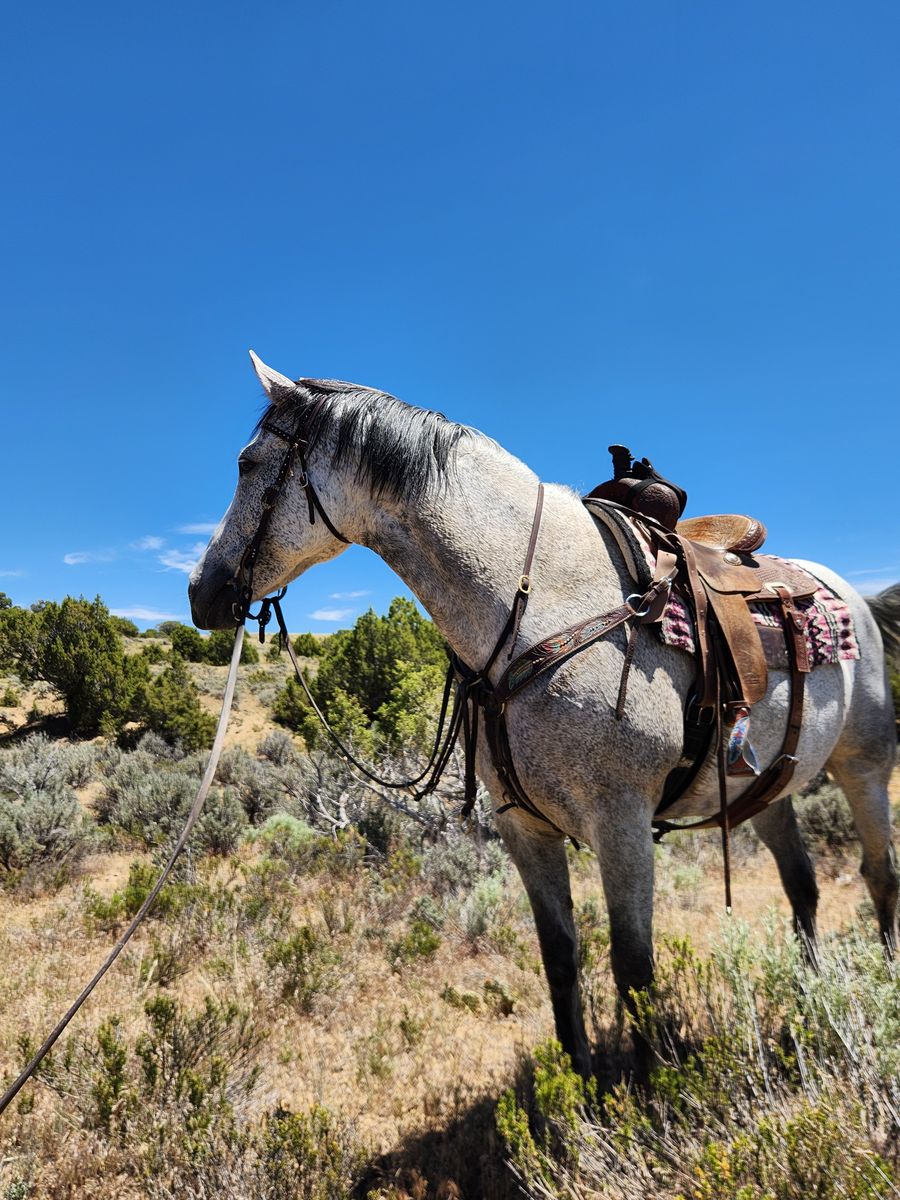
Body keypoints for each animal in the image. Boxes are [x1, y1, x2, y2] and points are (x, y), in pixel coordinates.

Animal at [189, 353, 899, 1079]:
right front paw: (580, 1087)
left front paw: (648, 1091)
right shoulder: (523, 826)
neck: (540, 609)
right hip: (766, 789)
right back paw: (809, 988)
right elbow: (560, 957)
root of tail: (851, 597)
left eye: (246, 463)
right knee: (802, 885)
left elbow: (633, 967)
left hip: (864, 767)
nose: (200, 593)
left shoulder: (621, 823)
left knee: (880, 875)